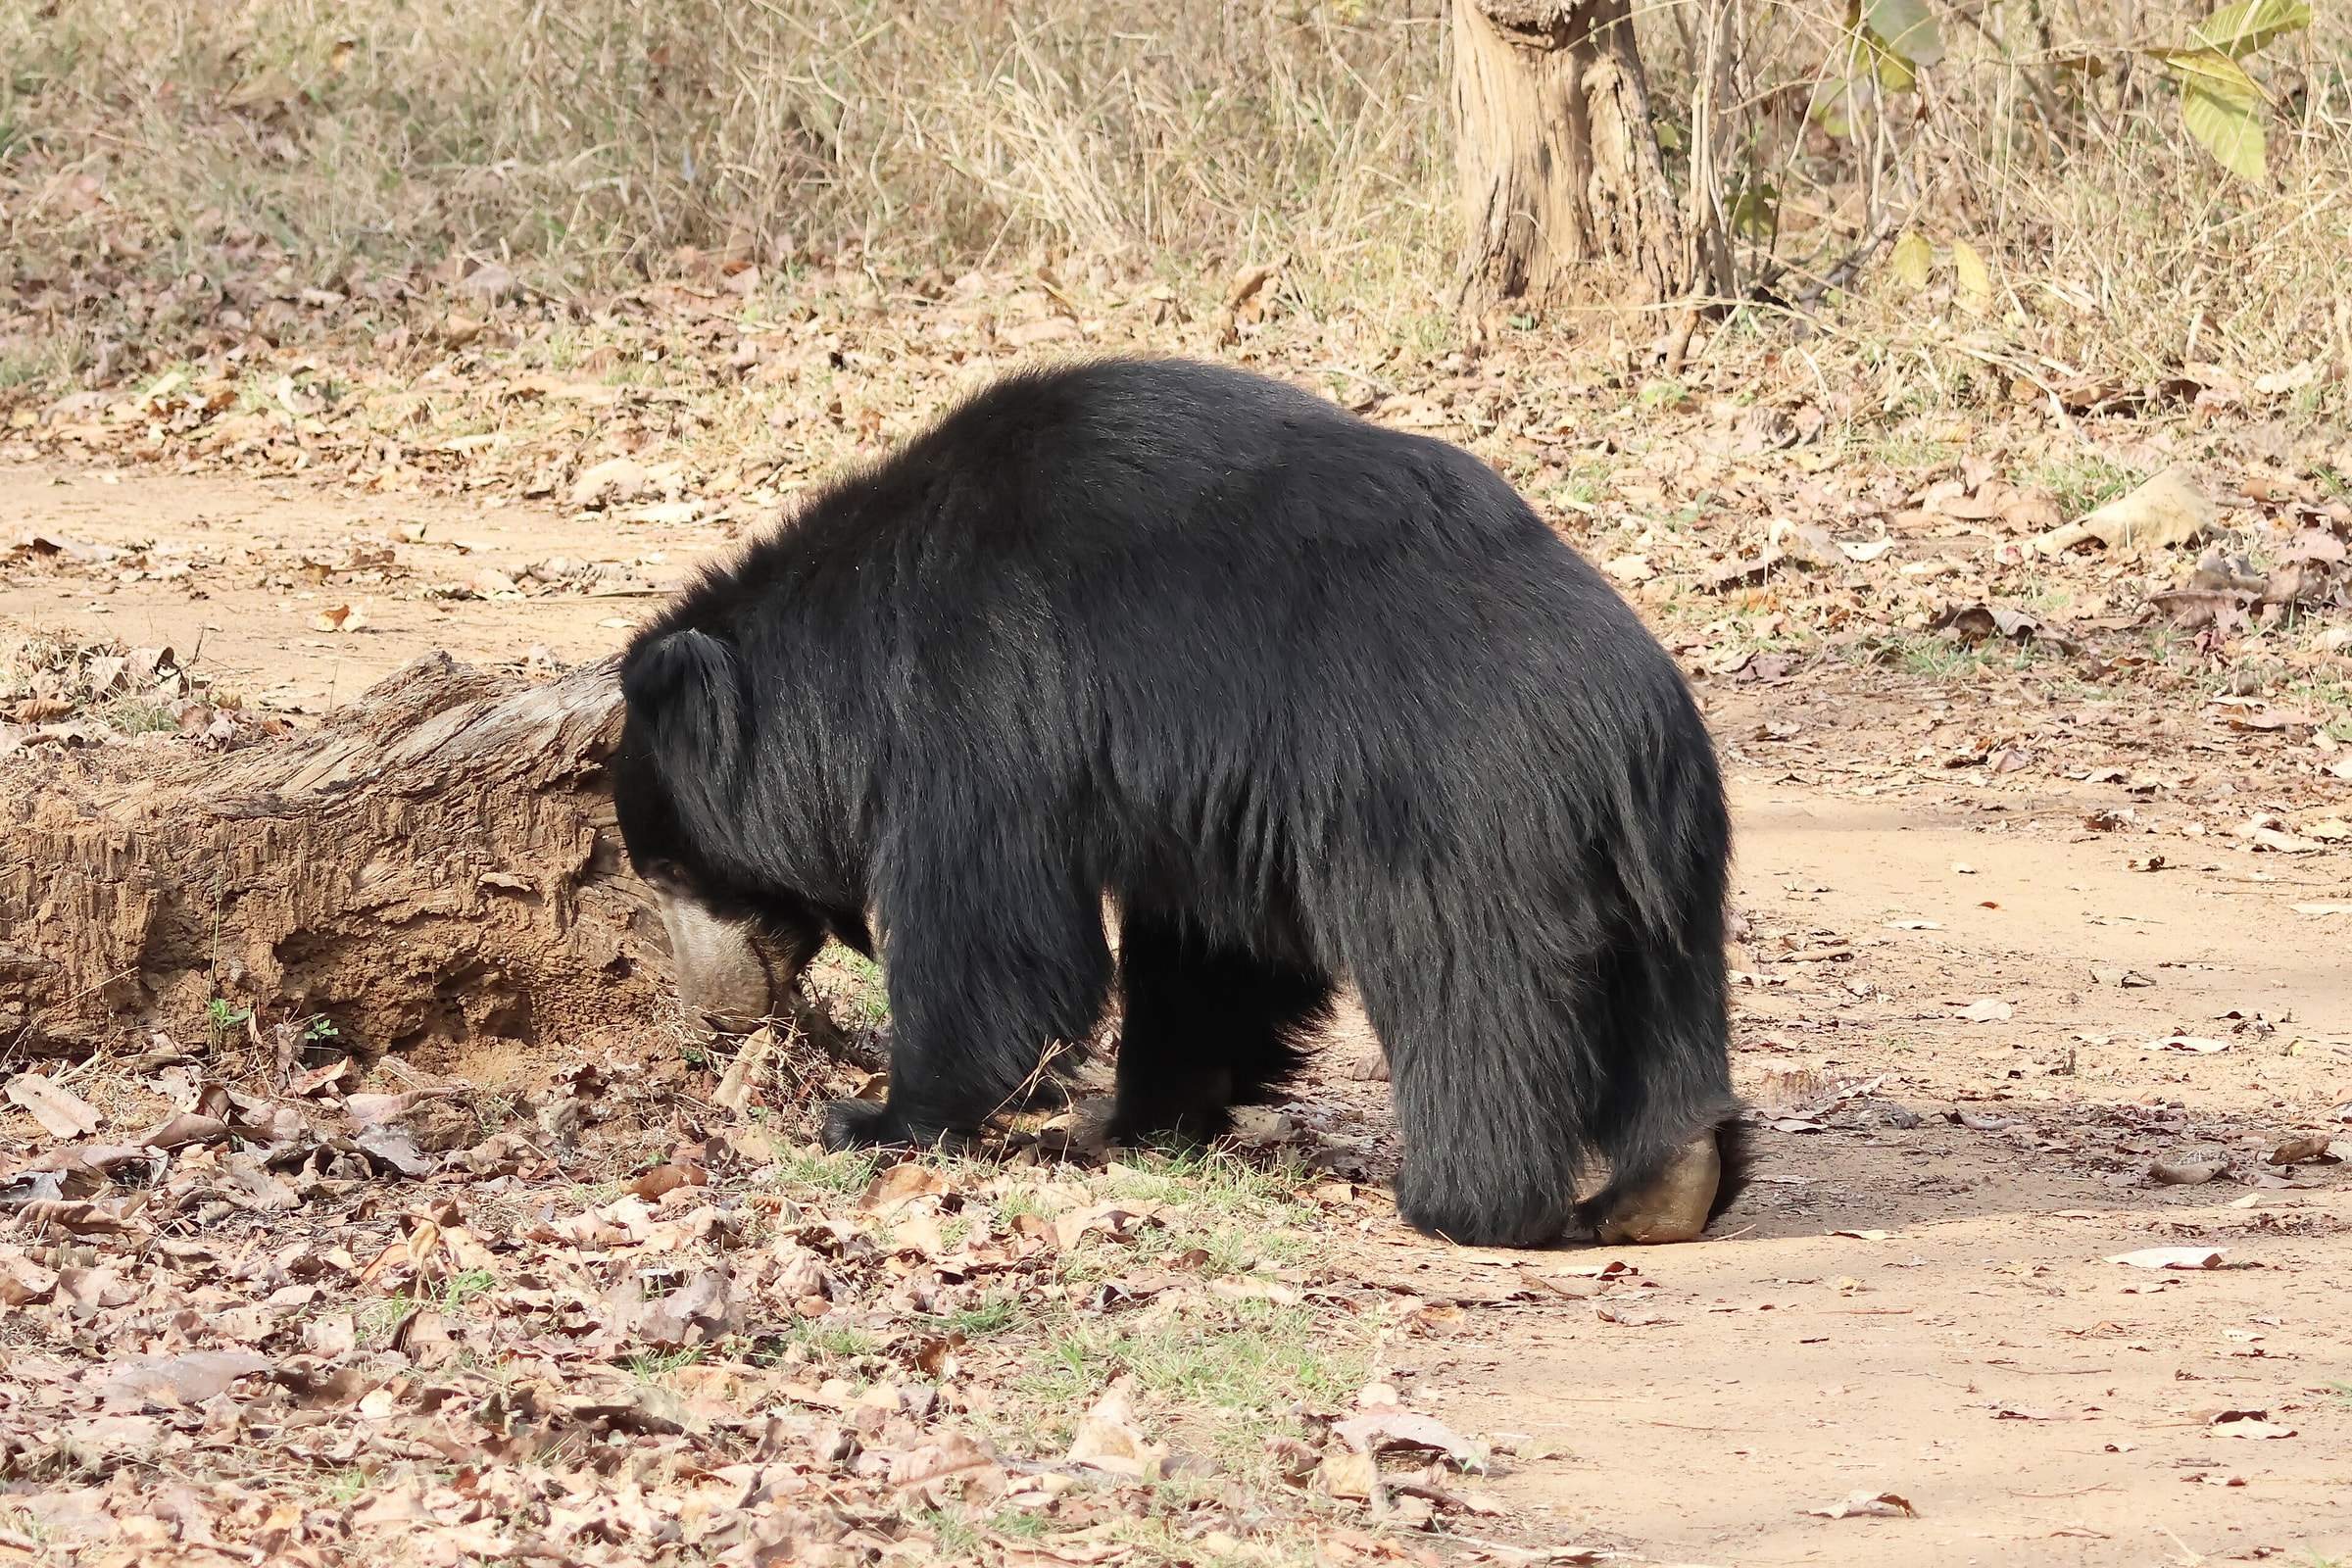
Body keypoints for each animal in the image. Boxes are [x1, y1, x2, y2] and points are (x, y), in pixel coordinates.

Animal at [609, 356, 1746, 1247]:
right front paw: (1153, 1115)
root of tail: (1624, 729)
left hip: (1462, 825)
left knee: (1469, 994)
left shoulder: (978, 708)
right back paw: (1666, 1185)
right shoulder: (1211, 802)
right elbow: (1209, 954)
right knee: (1665, 998)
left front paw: (879, 1117)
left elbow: (988, 930)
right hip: (1667, 861)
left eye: (671, 867)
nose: (711, 1013)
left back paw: (1465, 1204)